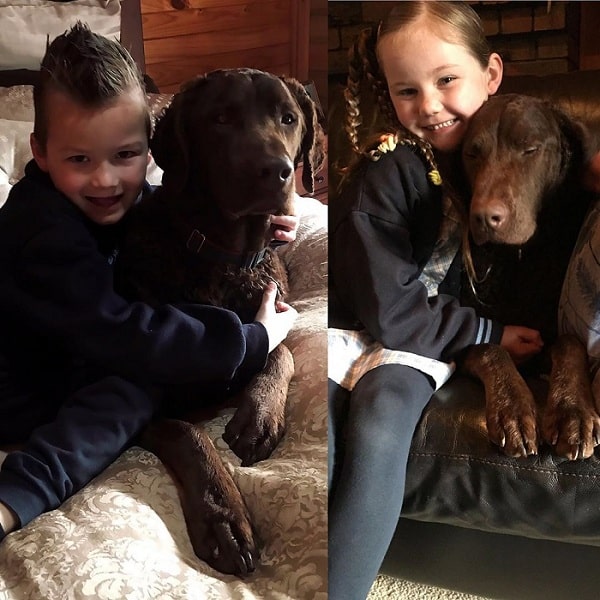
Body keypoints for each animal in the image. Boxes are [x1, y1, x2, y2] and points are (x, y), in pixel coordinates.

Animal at [115, 69, 326, 576]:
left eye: (288, 118)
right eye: (221, 119)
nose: (275, 170)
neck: (225, 259)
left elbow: (280, 350)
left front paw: (259, 416)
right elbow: (188, 433)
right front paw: (223, 517)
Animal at [460, 92, 600, 460]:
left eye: (530, 149)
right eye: (472, 154)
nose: (484, 217)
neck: (521, 257)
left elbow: (569, 342)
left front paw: (572, 411)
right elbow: (490, 347)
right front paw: (512, 409)